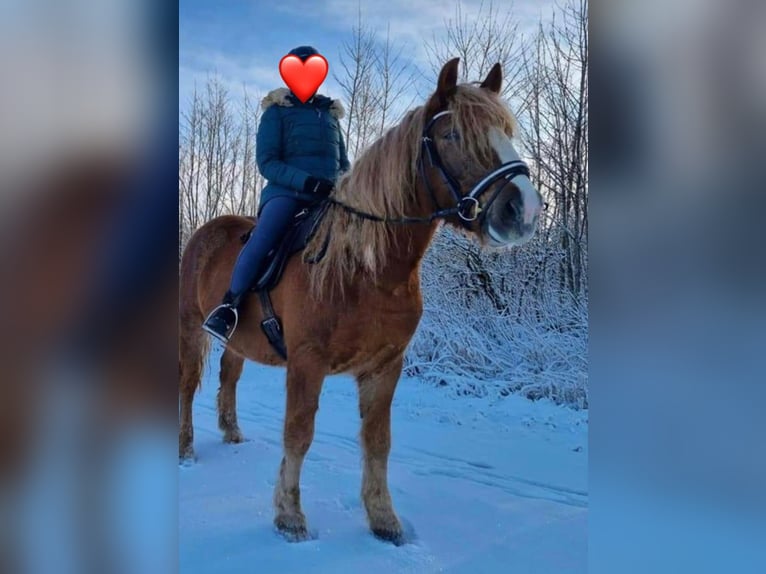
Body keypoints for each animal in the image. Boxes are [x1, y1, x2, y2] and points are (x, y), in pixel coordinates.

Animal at [178, 57, 544, 544]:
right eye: (452, 135)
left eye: (506, 130)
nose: (524, 210)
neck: (367, 270)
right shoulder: (307, 362)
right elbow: (298, 433)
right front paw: (290, 516)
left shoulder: (385, 366)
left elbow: (377, 441)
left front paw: (384, 519)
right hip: (189, 325)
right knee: (186, 385)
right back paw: (185, 449)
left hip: (238, 339)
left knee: (229, 375)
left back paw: (232, 432)